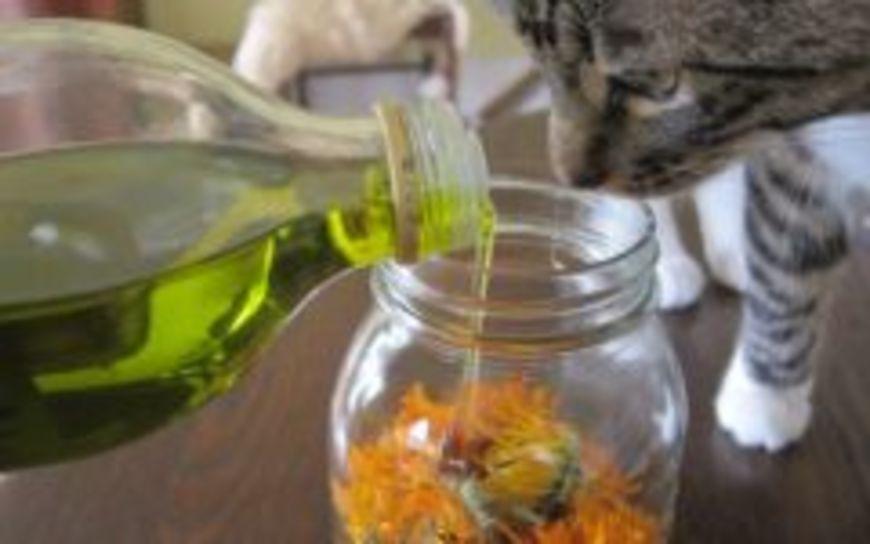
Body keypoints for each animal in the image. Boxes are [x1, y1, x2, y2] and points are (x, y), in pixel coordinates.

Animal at [495, 0, 870, 452]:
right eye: (542, 67)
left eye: (657, 84)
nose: (571, 179)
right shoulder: (800, 157)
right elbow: (784, 277)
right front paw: (764, 398)